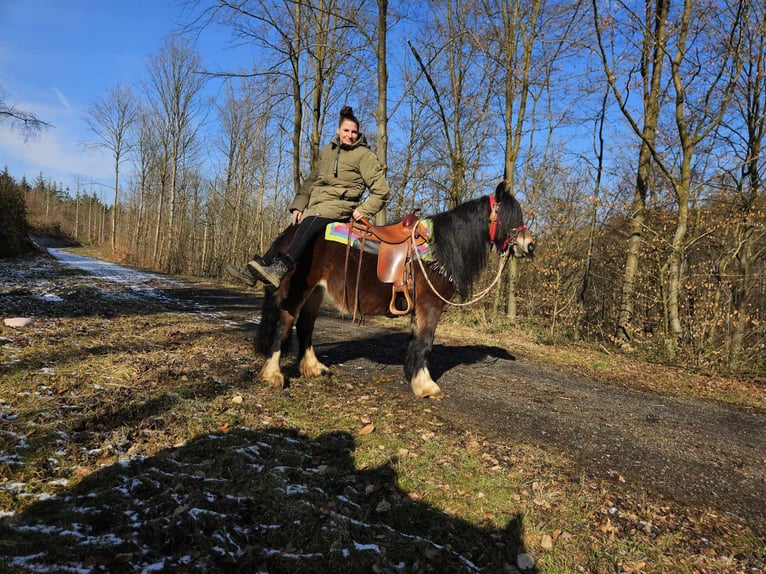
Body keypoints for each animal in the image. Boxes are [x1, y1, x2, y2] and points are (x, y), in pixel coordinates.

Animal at [256, 180, 536, 400]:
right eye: (508, 217)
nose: (530, 245)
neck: (438, 249)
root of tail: (290, 234)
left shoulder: (419, 307)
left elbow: (416, 341)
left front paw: (415, 376)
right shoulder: (430, 305)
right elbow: (425, 342)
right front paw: (426, 386)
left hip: (316, 292)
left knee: (305, 326)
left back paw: (314, 368)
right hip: (298, 290)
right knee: (285, 323)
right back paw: (273, 375)